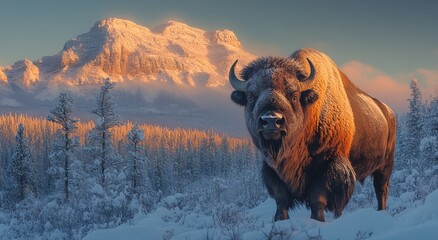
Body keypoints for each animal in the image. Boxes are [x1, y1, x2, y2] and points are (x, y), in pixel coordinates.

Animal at [231, 48, 396, 221]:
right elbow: (281, 199)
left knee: (381, 190)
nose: (271, 120)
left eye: (294, 95)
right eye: (251, 97)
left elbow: (317, 198)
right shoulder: (272, 170)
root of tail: (388, 112)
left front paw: (318, 220)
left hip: (385, 166)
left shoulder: (328, 165)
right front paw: (280, 219)